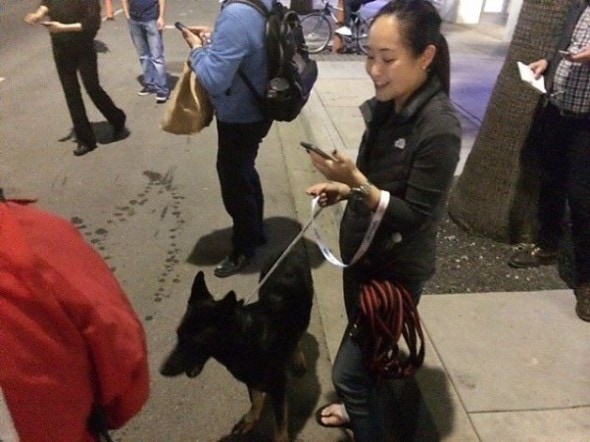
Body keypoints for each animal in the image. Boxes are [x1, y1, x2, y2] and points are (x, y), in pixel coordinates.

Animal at [157, 245, 314, 442]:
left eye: (196, 341)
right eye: (178, 334)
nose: (162, 370)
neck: (244, 339)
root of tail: (290, 248)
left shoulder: (278, 386)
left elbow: (280, 424)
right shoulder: (251, 379)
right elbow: (256, 399)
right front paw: (251, 418)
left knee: (299, 334)